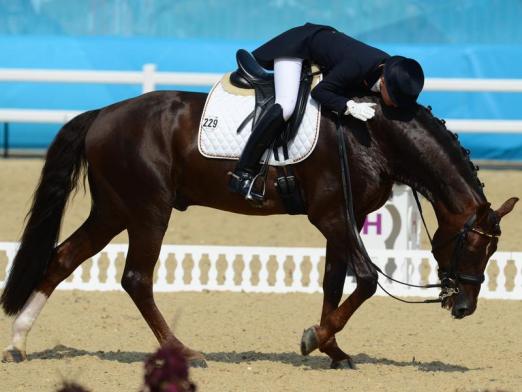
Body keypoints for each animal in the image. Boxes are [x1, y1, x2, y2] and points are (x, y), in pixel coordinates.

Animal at [0, 90, 512, 370]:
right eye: (473, 244)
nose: (463, 307)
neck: (370, 135)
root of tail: (103, 113)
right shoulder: (332, 217)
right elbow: (366, 281)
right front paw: (315, 339)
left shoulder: (339, 221)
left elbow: (333, 285)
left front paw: (332, 348)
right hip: (148, 211)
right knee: (136, 279)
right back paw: (185, 351)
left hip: (114, 210)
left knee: (62, 259)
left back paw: (19, 343)